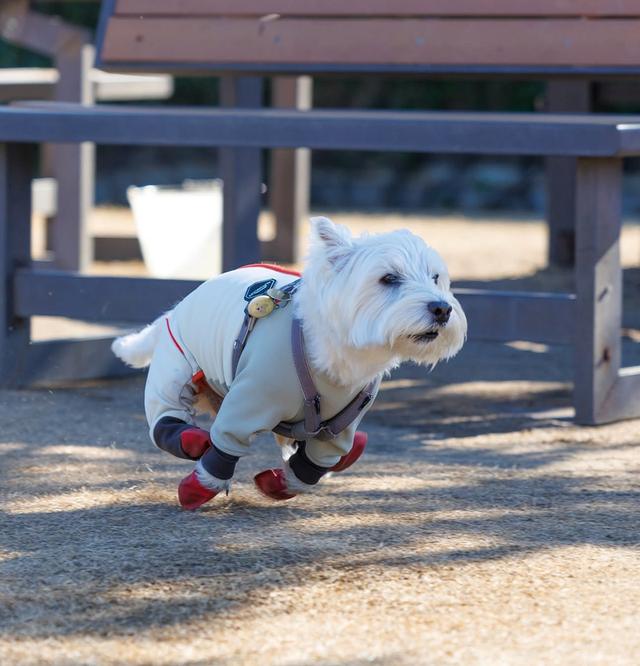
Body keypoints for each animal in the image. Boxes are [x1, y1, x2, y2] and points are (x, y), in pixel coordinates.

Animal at [112, 215, 468, 506]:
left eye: (435, 277)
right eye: (389, 278)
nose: (442, 309)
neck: (332, 357)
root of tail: (173, 312)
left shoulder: (342, 426)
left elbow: (313, 465)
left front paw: (279, 483)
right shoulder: (249, 401)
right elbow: (226, 445)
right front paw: (200, 486)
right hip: (174, 373)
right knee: (165, 423)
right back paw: (192, 441)